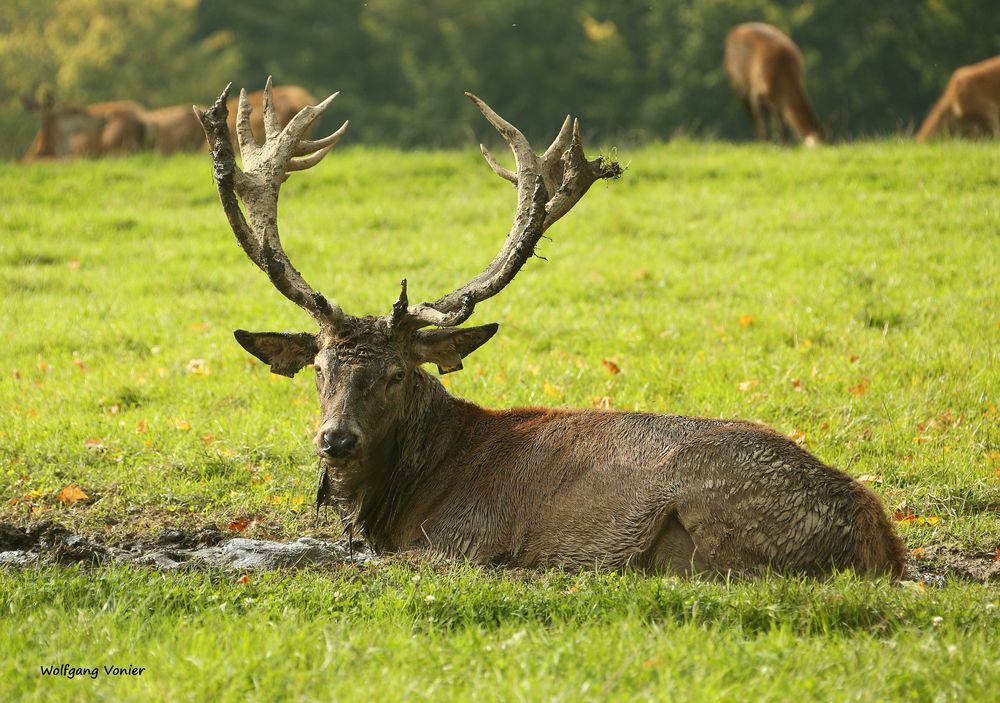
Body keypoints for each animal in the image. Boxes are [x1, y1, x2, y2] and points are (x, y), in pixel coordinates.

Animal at [195, 81, 908, 576]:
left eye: (397, 373)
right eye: (319, 367)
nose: (335, 440)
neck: (400, 500)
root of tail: (881, 536)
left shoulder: (461, 542)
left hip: (714, 515)